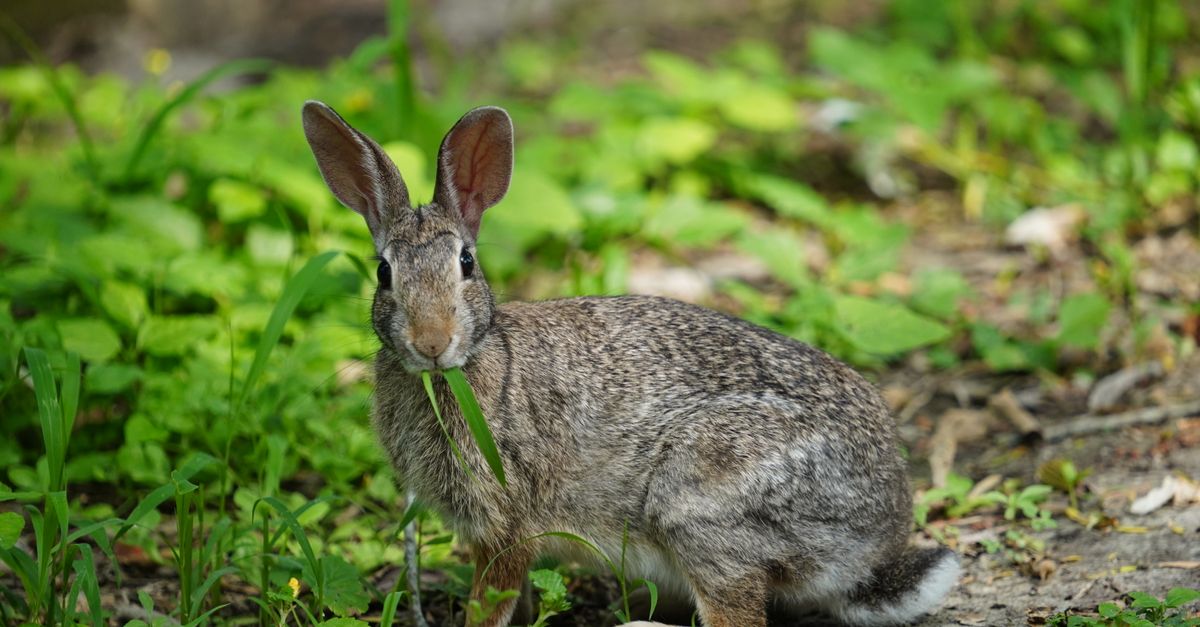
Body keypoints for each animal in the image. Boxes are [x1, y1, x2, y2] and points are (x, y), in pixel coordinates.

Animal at [301, 100, 959, 627]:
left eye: (466, 263)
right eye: (384, 272)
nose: (432, 341)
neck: (460, 372)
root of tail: (876, 538)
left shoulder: (505, 523)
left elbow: (490, 605)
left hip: (701, 503)